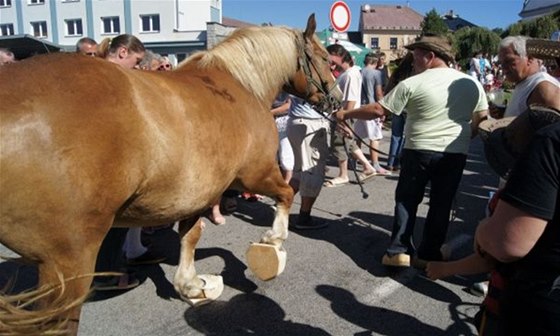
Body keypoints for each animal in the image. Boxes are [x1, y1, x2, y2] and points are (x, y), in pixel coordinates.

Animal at [0, 13, 342, 334]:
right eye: (327, 60)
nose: (337, 100)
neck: (240, 86)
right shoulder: (255, 174)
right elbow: (287, 194)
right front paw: (273, 243)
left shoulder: (194, 192)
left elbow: (190, 236)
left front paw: (190, 284)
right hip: (67, 262)